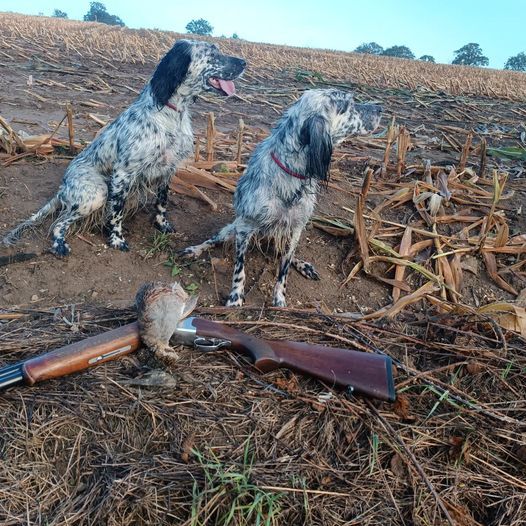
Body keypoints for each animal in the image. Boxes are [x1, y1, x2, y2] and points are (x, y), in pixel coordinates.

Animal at [3, 39, 246, 258]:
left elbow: (161, 203)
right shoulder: (123, 173)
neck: (170, 114)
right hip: (97, 192)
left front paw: (162, 225)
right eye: (212, 54)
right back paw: (59, 244)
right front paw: (116, 239)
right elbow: (116, 212)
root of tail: (62, 188)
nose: (244, 62)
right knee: (58, 223)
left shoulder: (168, 169)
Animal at [182, 88, 384, 308]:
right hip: (230, 229)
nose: (379, 108)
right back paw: (194, 249)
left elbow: (284, 268)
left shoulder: (295, 229)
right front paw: (235, 297)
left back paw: (304, 266)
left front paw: (279, 299)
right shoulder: (244, 227)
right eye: (348, 106)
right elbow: (239, 269)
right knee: (213, 240)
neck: (291, 173)